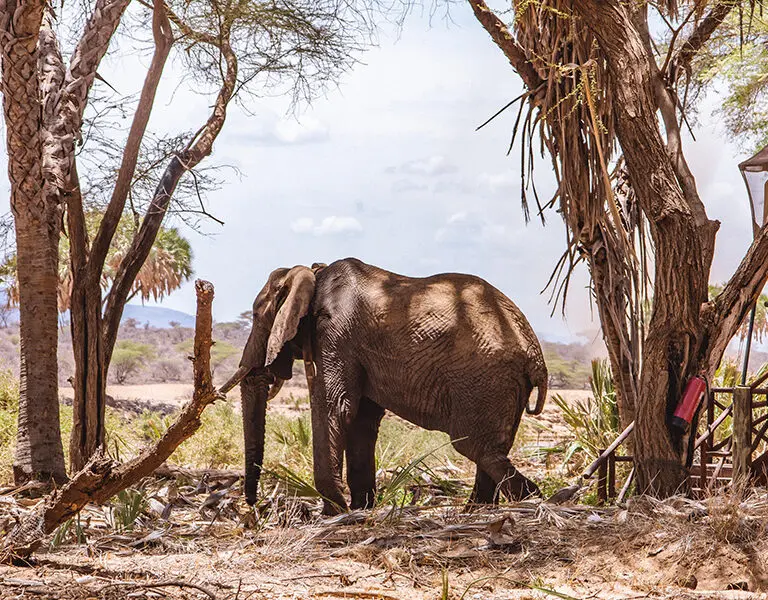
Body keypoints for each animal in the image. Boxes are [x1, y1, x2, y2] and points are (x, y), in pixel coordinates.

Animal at [220, 257, 548, 514]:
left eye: (256, 315)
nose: (253, 505)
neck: (313, 273)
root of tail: (536, 356)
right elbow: (361, 421)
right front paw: (360, 509)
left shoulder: (336, 335)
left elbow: (335, 407)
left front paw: (335, 512)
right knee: (492, 449)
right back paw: (479, 510)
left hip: (483, 381)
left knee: (475, 446)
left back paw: (532, 501)